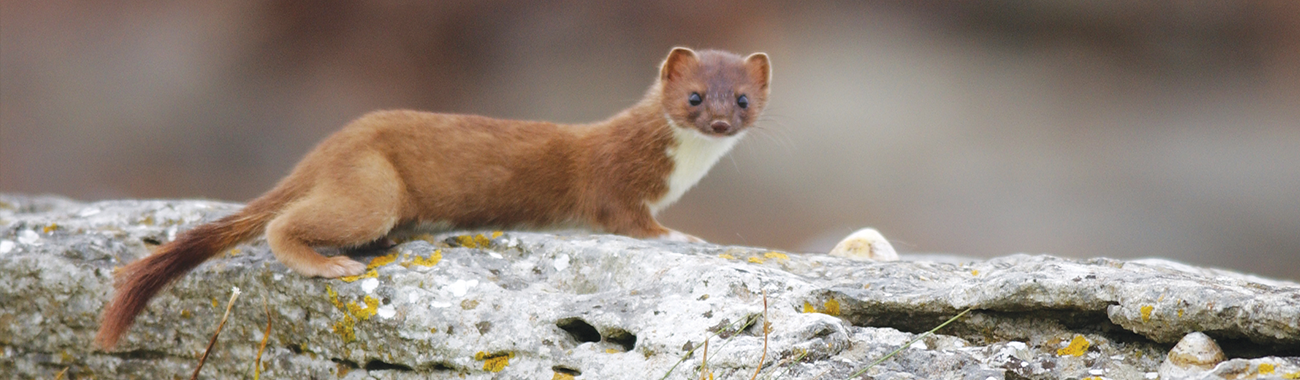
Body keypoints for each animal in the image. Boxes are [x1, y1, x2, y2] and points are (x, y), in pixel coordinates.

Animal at [101, 46, 774, 346]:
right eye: (693, 96)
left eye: (742, 99)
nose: (720, 122)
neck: (681, 171)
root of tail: (331, 144)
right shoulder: (615, 183)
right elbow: (630, 221)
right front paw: (682, 233)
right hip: (372, 184)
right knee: (279, 224)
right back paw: (332, 265)